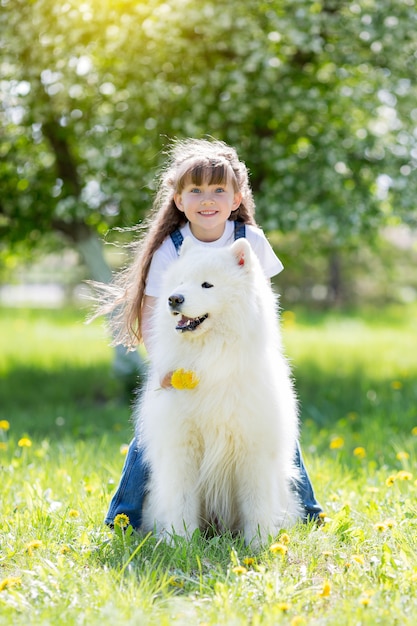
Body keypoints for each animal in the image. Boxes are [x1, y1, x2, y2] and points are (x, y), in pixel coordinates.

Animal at [138, 236, 300, 544]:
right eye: (180, 282)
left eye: (207, 285)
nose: (174, 299)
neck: (211, 360)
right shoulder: (182, 446)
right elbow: (182, 499)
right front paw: (181, 542)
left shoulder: (253, 448)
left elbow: (256, 501)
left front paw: (258, 543)